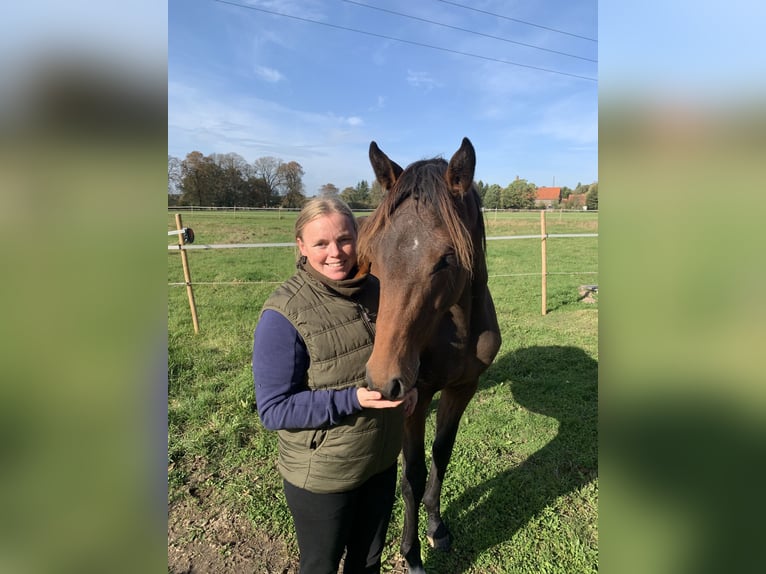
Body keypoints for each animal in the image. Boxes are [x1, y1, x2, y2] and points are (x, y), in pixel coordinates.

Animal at [358, 137, 504, 572]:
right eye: (377, 253)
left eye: (447, 258)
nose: (381, 380)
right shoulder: (414, 398)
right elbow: (413, 475)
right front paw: (411, 554)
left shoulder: (463, 388)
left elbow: (441, 455)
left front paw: (437, 528)